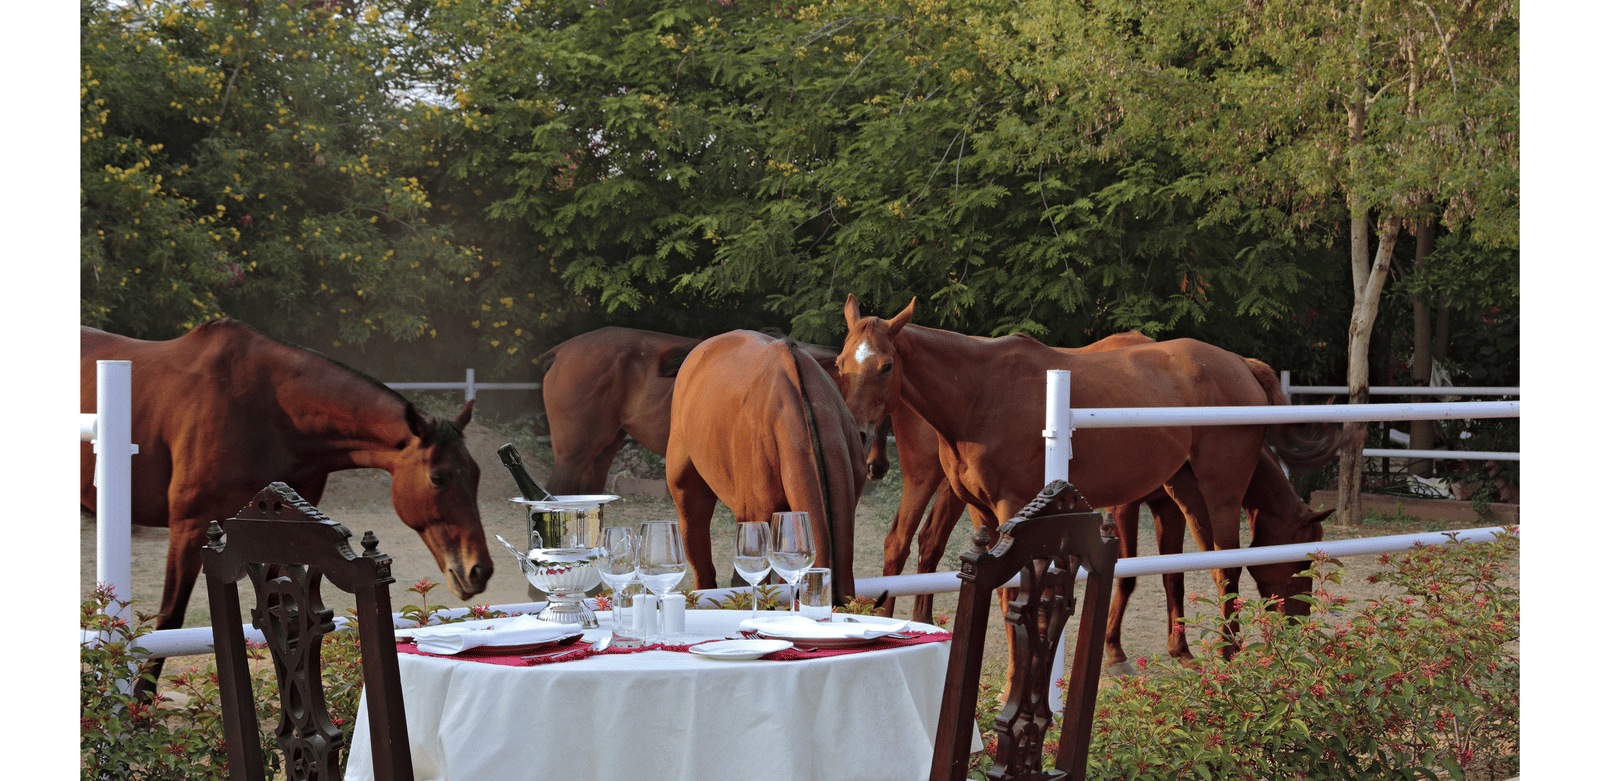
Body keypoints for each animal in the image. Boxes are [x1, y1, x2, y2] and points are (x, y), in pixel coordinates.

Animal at [81, 318, 494, 692]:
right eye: (438, 477)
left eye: (476, 474)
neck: (269, 413)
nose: (479, 570)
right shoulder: (190, 527)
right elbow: (167, 620)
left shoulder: (278, 536)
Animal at [834, 295, 1346, 670]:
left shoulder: (1017, 511)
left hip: (1218, 492)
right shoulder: (985, 514)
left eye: (885, 366)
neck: (979, 392)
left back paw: (1226, 654)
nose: (1300, 619)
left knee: (1227, 568)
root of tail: (1240, 366)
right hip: (1193, 493)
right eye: (840, 364)